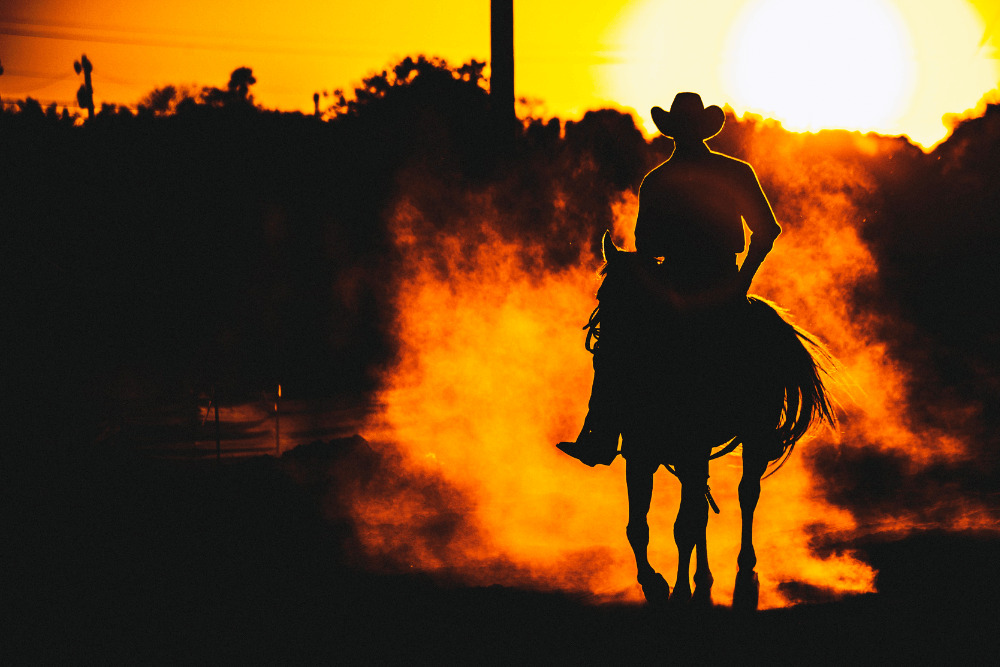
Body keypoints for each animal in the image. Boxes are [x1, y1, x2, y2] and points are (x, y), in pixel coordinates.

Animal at [564, 234, 836, 612]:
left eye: (637, 299)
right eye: (603, 296)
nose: (607, 349)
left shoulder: (692, 449)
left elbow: (684, 526)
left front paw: (678, 591)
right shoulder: (640, 455)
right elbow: (639, 527)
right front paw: (655, 584)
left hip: (752, 436)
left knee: (746, 495)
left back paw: (744, 573)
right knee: (702, 509)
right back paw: (703, 579)